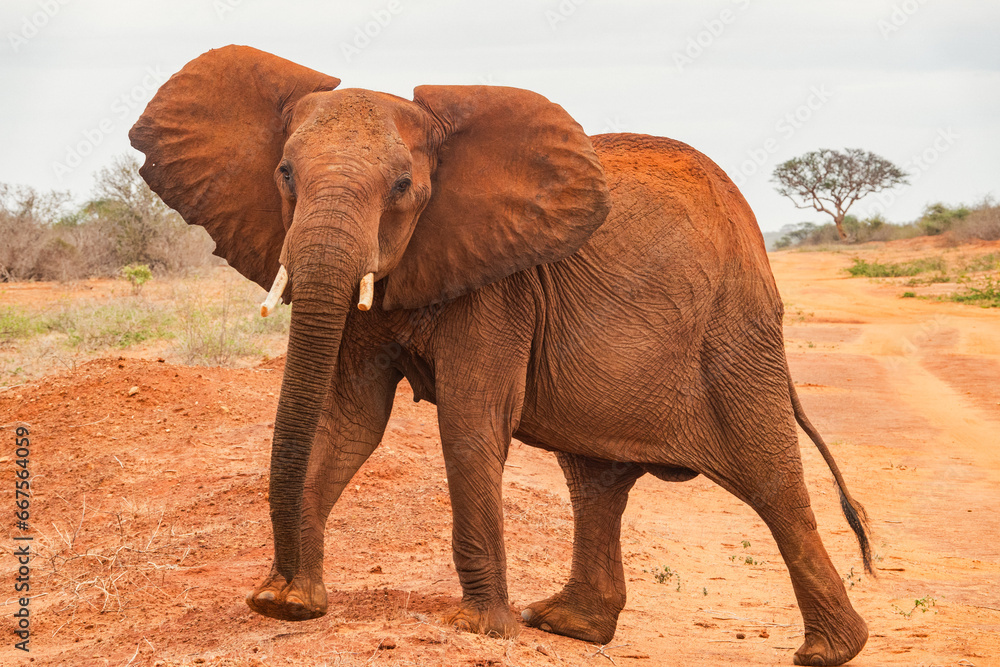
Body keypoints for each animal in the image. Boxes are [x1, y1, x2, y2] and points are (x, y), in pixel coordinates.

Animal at [130, 45, 872, 666]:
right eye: (284, 174)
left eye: (402, 188)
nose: (279, 591)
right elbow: (350, 422)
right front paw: (287, 604)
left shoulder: (498, 286)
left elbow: (469, 420)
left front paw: (477, 628)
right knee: (596, 481)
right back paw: (569, 625)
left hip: (736, 335)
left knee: (772, 480)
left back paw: (828, 652)